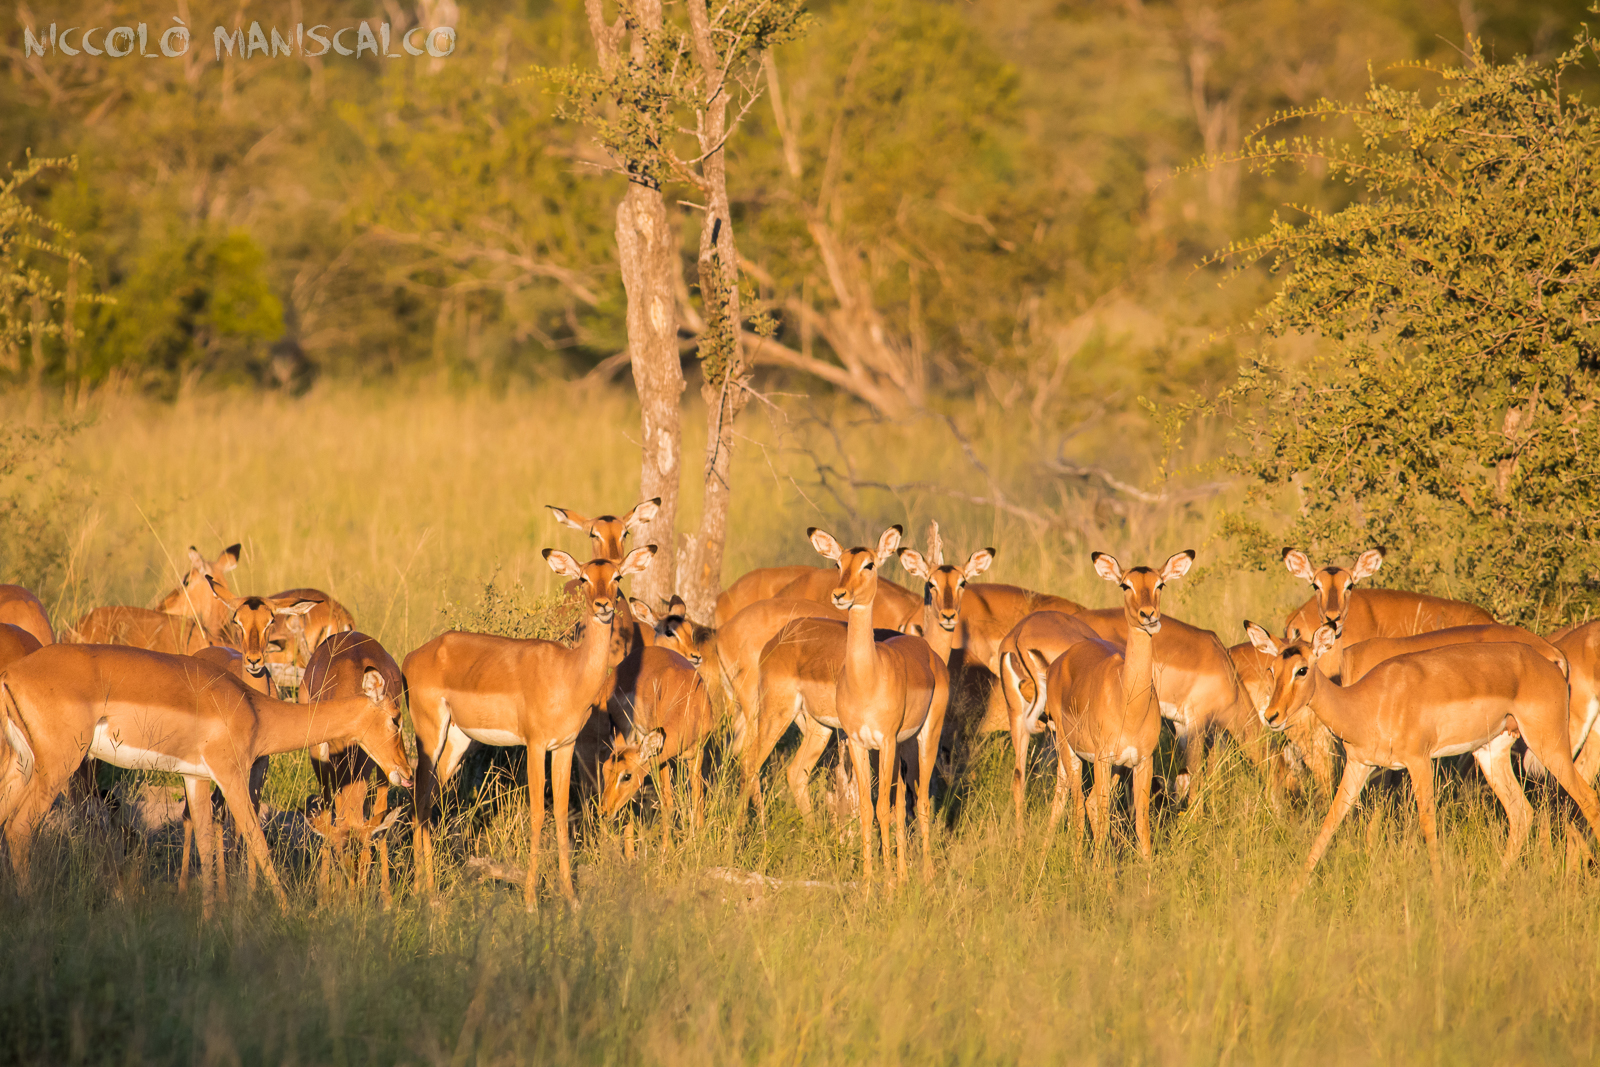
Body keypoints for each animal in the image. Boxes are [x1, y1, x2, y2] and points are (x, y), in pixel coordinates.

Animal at [0, 644, 411, 917]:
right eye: (395, 718)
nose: (405, 773)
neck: (255, 710)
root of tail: (11, 675)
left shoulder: (195, 777)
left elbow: (205, 843)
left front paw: (209, 920)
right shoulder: (231, 775)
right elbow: (257, 841)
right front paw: (289, 912)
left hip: (22, 765)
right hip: (58, 764)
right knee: (21, 826)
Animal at [405, 544, 656, 908]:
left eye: (617, 576)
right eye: (584, 578)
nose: (603, 606)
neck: (568, 674)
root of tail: (414, 657)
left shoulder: (564, 746)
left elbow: (563, 814)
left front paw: (571, 899)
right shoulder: (536, 745)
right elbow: (538, 813)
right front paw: (530, 902)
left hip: (456, 740)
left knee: (427, 797)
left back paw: (428, 888)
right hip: (429, 735)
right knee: (418, 797)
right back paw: (422, 891)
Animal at [1003, 550, 1195, 858]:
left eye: (1160, 584)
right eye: (1125, 585)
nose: (1149, 615)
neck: (1129, 703)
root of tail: (1058, 662)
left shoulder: (1142, 762)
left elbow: (1142, 825)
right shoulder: (1103, 760)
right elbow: (1103, 820)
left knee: (1083, 801)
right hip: (1071, 754)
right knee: (1077, 807)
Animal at [1245, 622, 1600, 890]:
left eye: (1302, 669)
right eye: (1272, 668)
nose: (1272, 716)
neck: (1366, 702)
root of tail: (1554, 663)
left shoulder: (1418, 761)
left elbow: (1428, 823)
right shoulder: (1359, 765)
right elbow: (1329, 822)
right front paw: (1292, 894)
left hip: (1549, 745)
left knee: (1587, 799)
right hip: (1491, 751)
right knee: (1522, 812)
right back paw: (1493, 886)